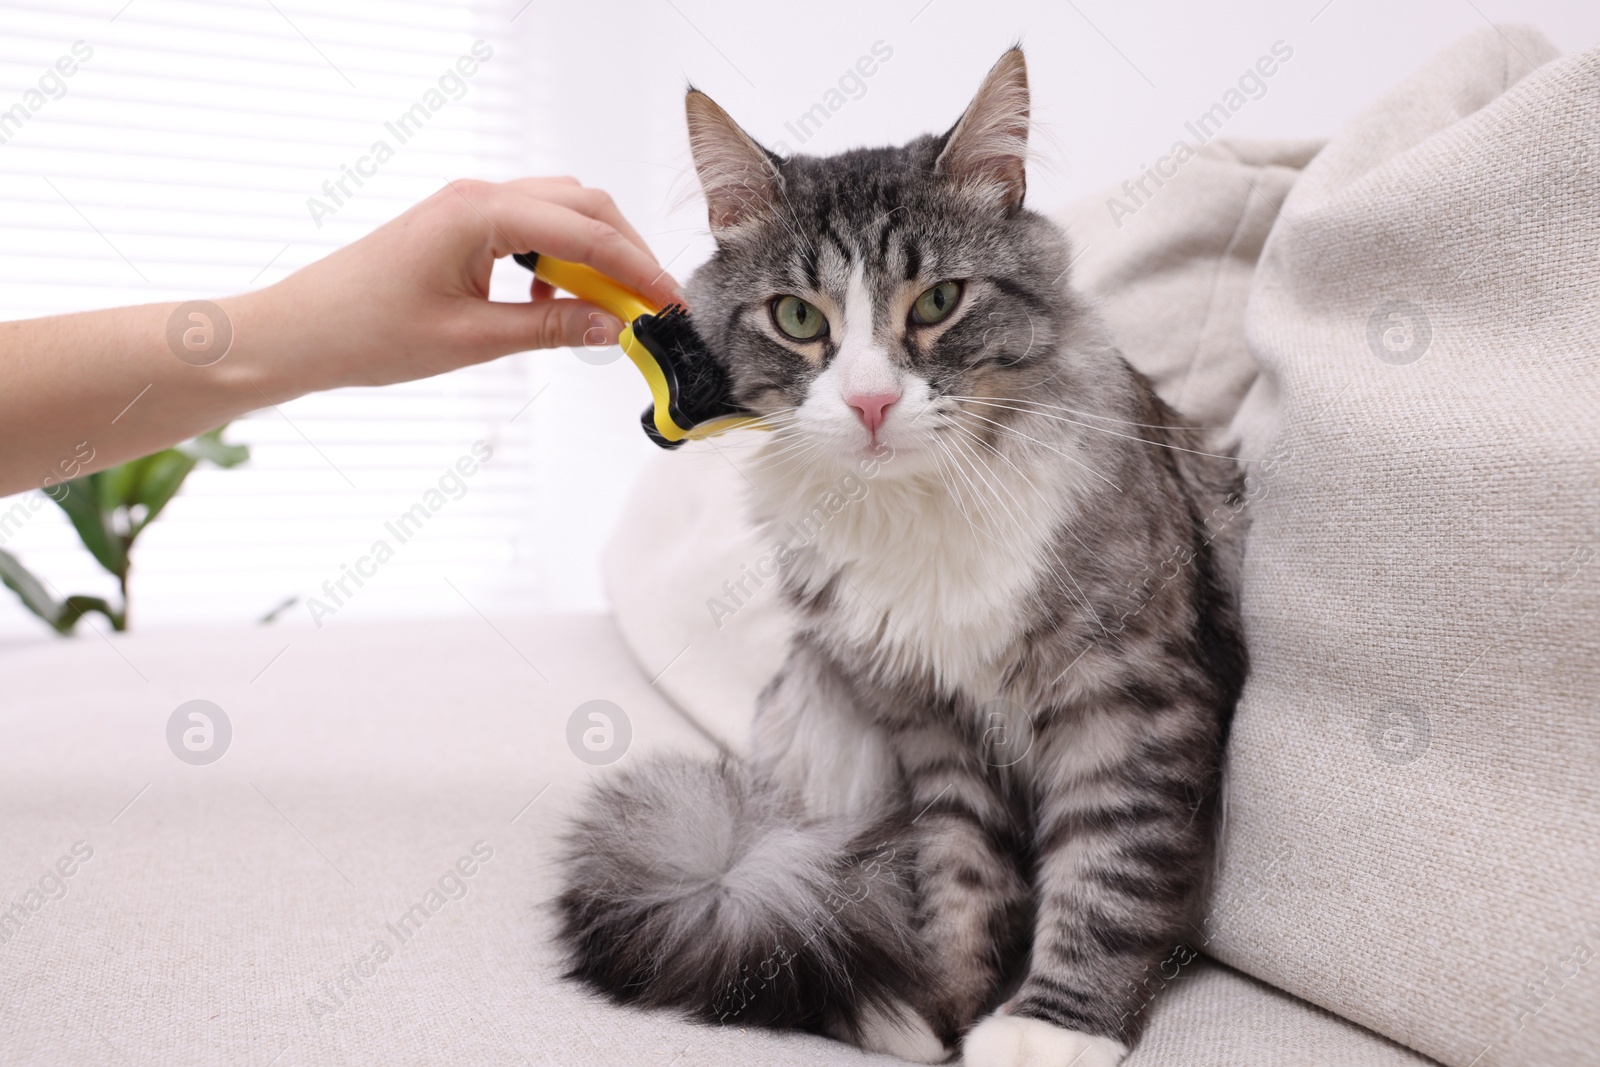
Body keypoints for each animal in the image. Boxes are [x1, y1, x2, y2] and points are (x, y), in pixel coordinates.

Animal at [560, 47, 1248, 1067]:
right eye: (798, 317)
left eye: (937, 302)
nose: (872, 401)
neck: (918, 508)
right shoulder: (931, 722)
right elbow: (959, 880)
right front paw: (939, 1004)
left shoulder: (1131, 699)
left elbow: (1108, 872)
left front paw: (1050, 1026)